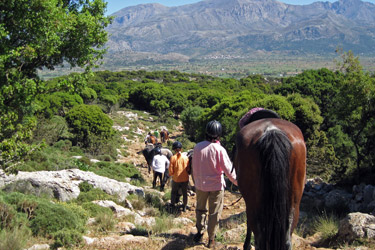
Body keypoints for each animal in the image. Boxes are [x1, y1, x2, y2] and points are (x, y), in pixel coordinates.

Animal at [236, 117, 306, 250]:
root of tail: (272, 130)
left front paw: (247, 245)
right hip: (294, 202)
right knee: (287, 237)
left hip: (254, 205)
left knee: (260, 238)